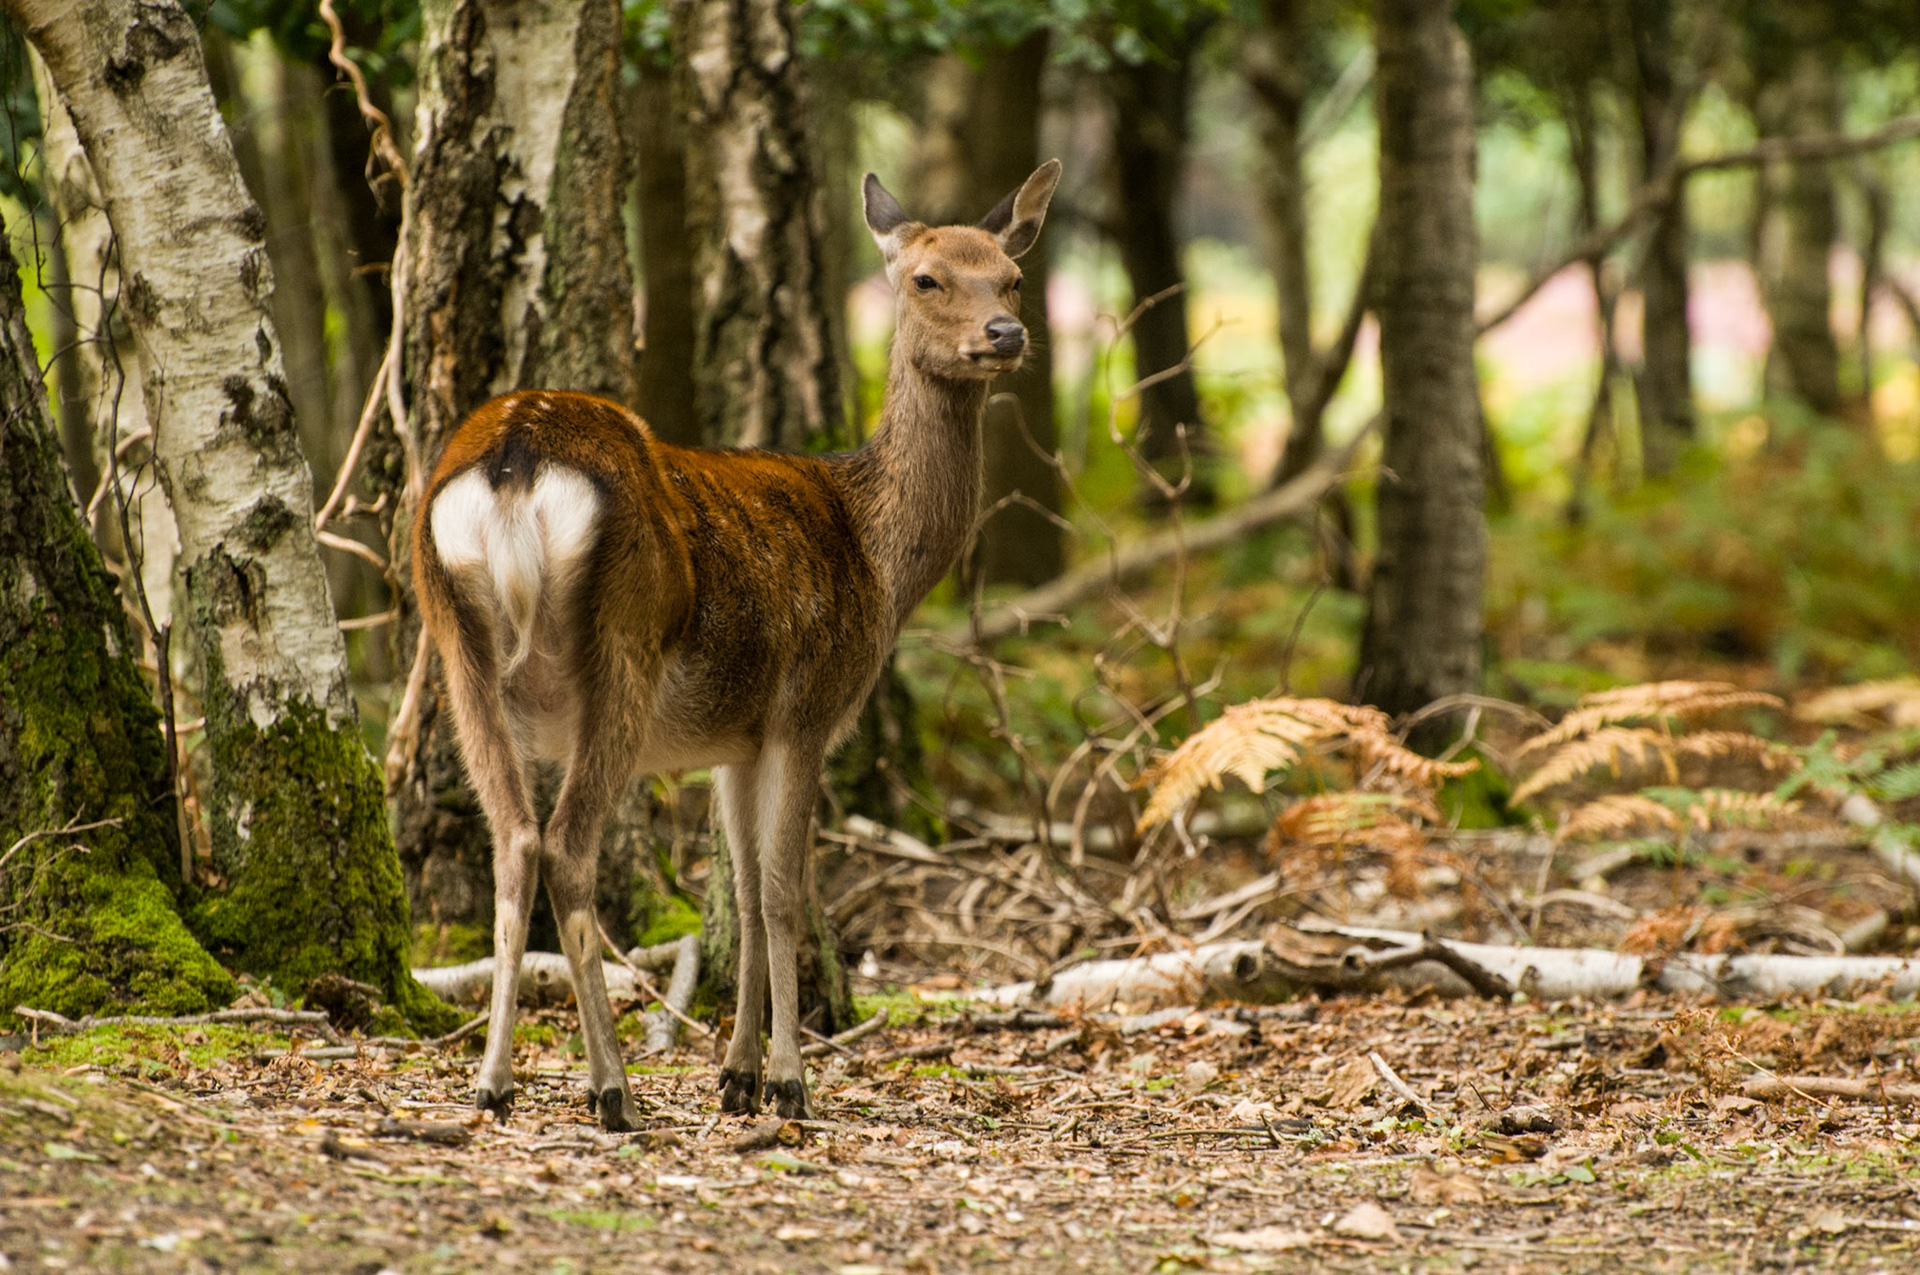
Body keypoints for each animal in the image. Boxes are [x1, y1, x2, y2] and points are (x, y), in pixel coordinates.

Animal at [411, 160, 1061, 1129]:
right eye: (926, 278)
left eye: (1012, 276)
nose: (1007, 332)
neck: (878, 557)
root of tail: (514, 461)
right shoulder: (807, 708)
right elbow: (787, 890)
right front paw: (789, 1080)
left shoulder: (733, 736)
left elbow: (746, 895)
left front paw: (738, 1076)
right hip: (624, 646)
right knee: (565, 845)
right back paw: (611, 1086)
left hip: (457, 646)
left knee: (515, 841)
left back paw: (494, 1083)